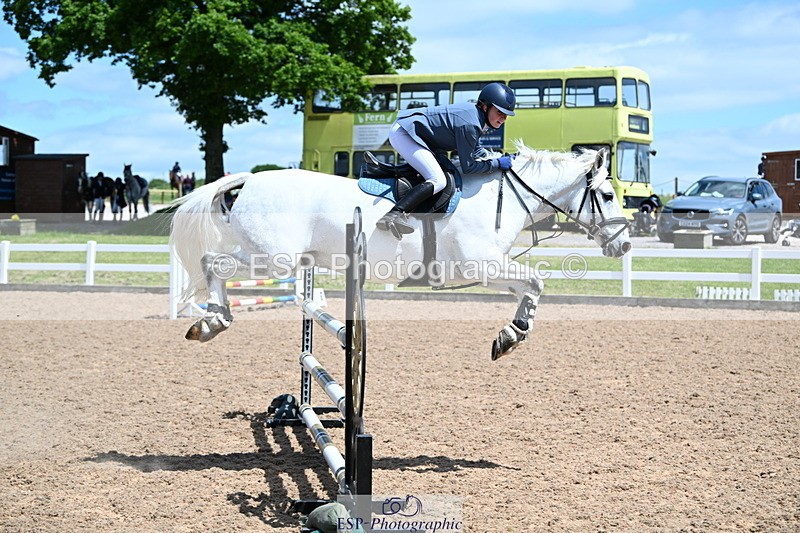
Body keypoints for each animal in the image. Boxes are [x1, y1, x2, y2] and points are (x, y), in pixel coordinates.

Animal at [170, 142, 631, 360]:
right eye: (608, 195)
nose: (624, 243)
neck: (501, 196)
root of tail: (249, 179)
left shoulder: (491, 270)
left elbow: (530, 288)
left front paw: (510, 334)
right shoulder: (482, 265)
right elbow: (535, 283)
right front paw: (511, 337)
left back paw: (211, 321)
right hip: (271, 258)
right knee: (214, 263)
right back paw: (212, 321)